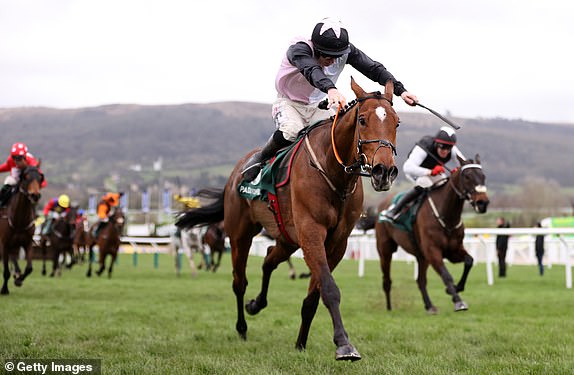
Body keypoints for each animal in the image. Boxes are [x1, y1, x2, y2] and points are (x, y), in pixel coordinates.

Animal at [177, 78, 400, 362]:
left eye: (396, 122)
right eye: (362, 120)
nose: (384, 171)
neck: (334, 173)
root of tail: (235, 173)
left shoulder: (336, 243)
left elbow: (313, 296)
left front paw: (301, 342)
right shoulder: (312, 232)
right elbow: (329, 289)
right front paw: (344, 344)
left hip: (287, 238)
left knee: (269, 259)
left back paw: (256, 303)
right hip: (240, 234)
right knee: (239, 282)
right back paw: (242, 327)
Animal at [378, 156, 490, 314]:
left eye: (483, 176)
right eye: (467, 177)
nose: (482, 203)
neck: (447, 216)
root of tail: (383, 204)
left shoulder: (453, 251)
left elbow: (469, 261)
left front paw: (456, 289)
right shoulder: (433, 251)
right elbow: (446, 275)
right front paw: (458, 301)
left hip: (421, 256)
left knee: (420, 280)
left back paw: (429, 306)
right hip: (385, 249)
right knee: (387, 279)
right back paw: (389, 307)